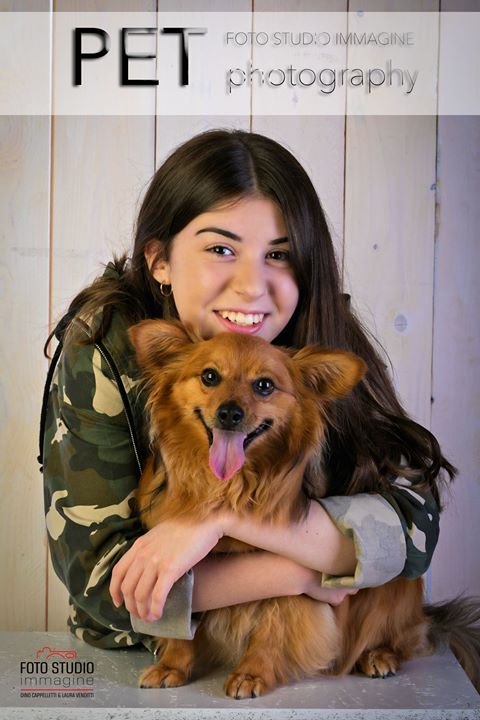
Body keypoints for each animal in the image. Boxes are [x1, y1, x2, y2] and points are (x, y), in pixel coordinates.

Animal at [127, 320, 468, 696]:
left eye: (264, 385)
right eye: (210, 376)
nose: (229, 413)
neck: (229, 488)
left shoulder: (289, 579)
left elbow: (273, 628)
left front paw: (252, 673)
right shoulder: (177, 568)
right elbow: (179, 623)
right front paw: (172, 665)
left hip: (397, 587)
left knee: (404, 637)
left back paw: (378, 655)